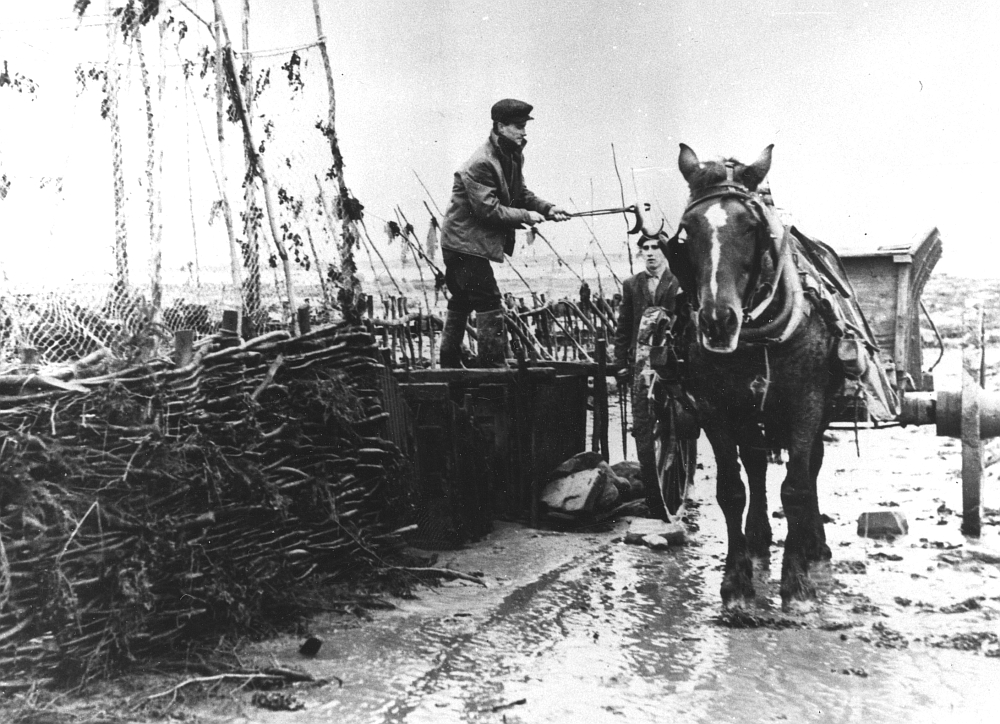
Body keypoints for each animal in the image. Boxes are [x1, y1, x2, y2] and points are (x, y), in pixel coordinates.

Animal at [668, 144, 848, 608]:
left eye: (752, 227)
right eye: (687, 232)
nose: (717, 322)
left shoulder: (807, 403)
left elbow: (797, 487)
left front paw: (797, 581)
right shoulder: (714, 406)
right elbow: (733, 489)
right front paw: (736, 582)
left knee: (810, 467)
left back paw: (814, 546)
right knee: (755, 466)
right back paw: (758, 539)